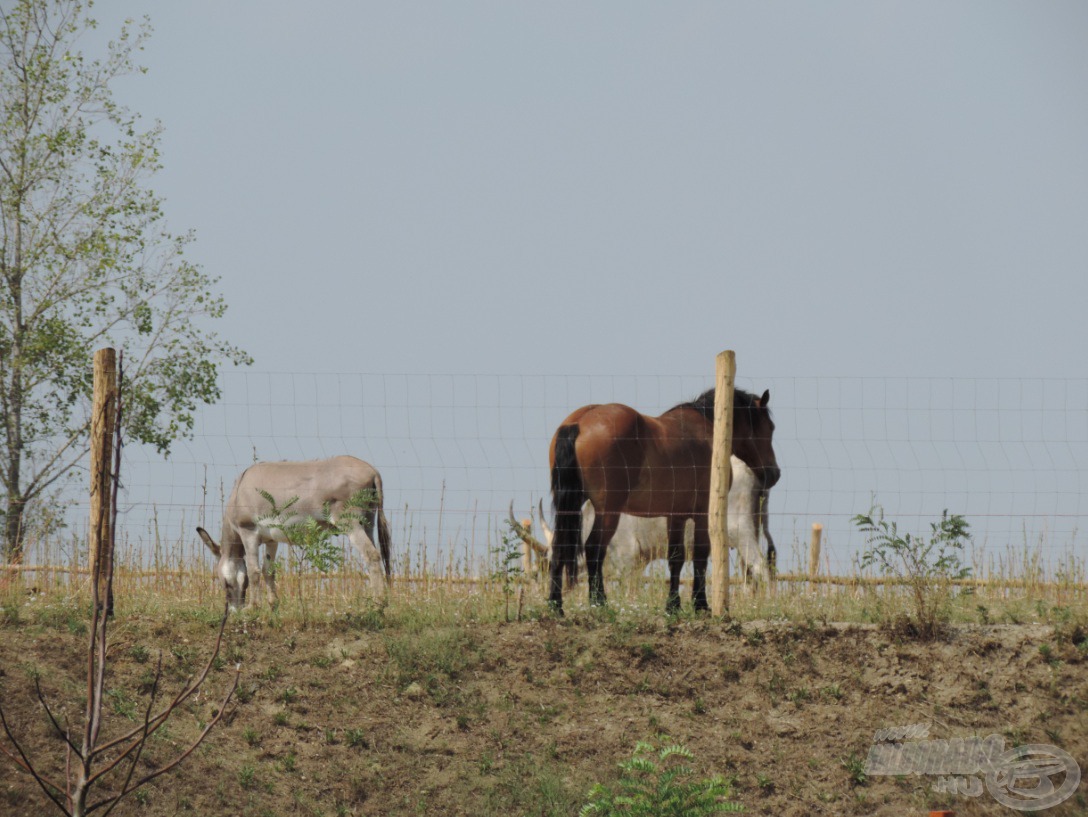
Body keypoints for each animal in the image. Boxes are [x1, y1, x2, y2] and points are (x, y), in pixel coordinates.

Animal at [199, 456, 391, 609]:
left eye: (223, 583)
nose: (235, 610)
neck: (239, 492)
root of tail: (372, 471)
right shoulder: (271, 539)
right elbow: (268, 570)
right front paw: (273, 605)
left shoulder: (248, 531)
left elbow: (253, 571)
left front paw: (253, 607)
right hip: (367, 523)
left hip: (350, 523)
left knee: (371, 555)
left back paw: (378, 604)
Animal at [548, 389, 779, 613]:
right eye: (770, 427)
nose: (774, 474)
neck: (708, 429)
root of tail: (579, 423)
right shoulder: (702, 512)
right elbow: (700, 555)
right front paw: (700, 604)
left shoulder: (675, 515)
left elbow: (676, 557)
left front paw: (673, 605)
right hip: (608, 512)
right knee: (594, 549)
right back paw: (599, 603)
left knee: (560, 548)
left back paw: (555, 604)